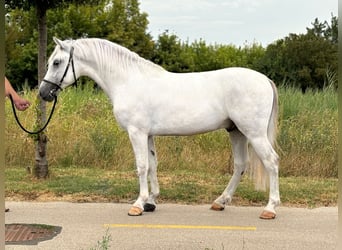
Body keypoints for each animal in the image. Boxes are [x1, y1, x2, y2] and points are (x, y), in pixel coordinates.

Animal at [39, 37, 280, 219]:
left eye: (57, 62)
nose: (43, 93)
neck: (128, 81)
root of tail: (265, 80)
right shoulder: (148, 135)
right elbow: (152, 165)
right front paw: (151, 201)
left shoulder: (136, 132)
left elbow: (141, 166)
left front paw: (138, 204)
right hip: (236, 131)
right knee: (240, 165)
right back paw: (220, 201)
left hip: (254, 134)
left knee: (271, 162)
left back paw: (270, 208)